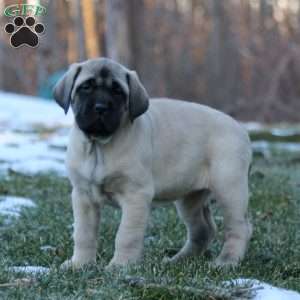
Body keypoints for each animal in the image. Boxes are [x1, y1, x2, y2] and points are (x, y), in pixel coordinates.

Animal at [53, 57, 253, 268]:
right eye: (85, 87)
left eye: (118, 92)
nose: (101, 107)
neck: (99, 146)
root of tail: (242, 129)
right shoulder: (83, 196)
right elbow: (84, 234)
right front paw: (79, 264)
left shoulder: (136, 196)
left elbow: (126, 235)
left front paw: (120, 266)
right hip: (190, 199)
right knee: (203, 229)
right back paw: (179, 259)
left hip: (229, 190)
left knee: (239, 228)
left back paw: (226, 261)